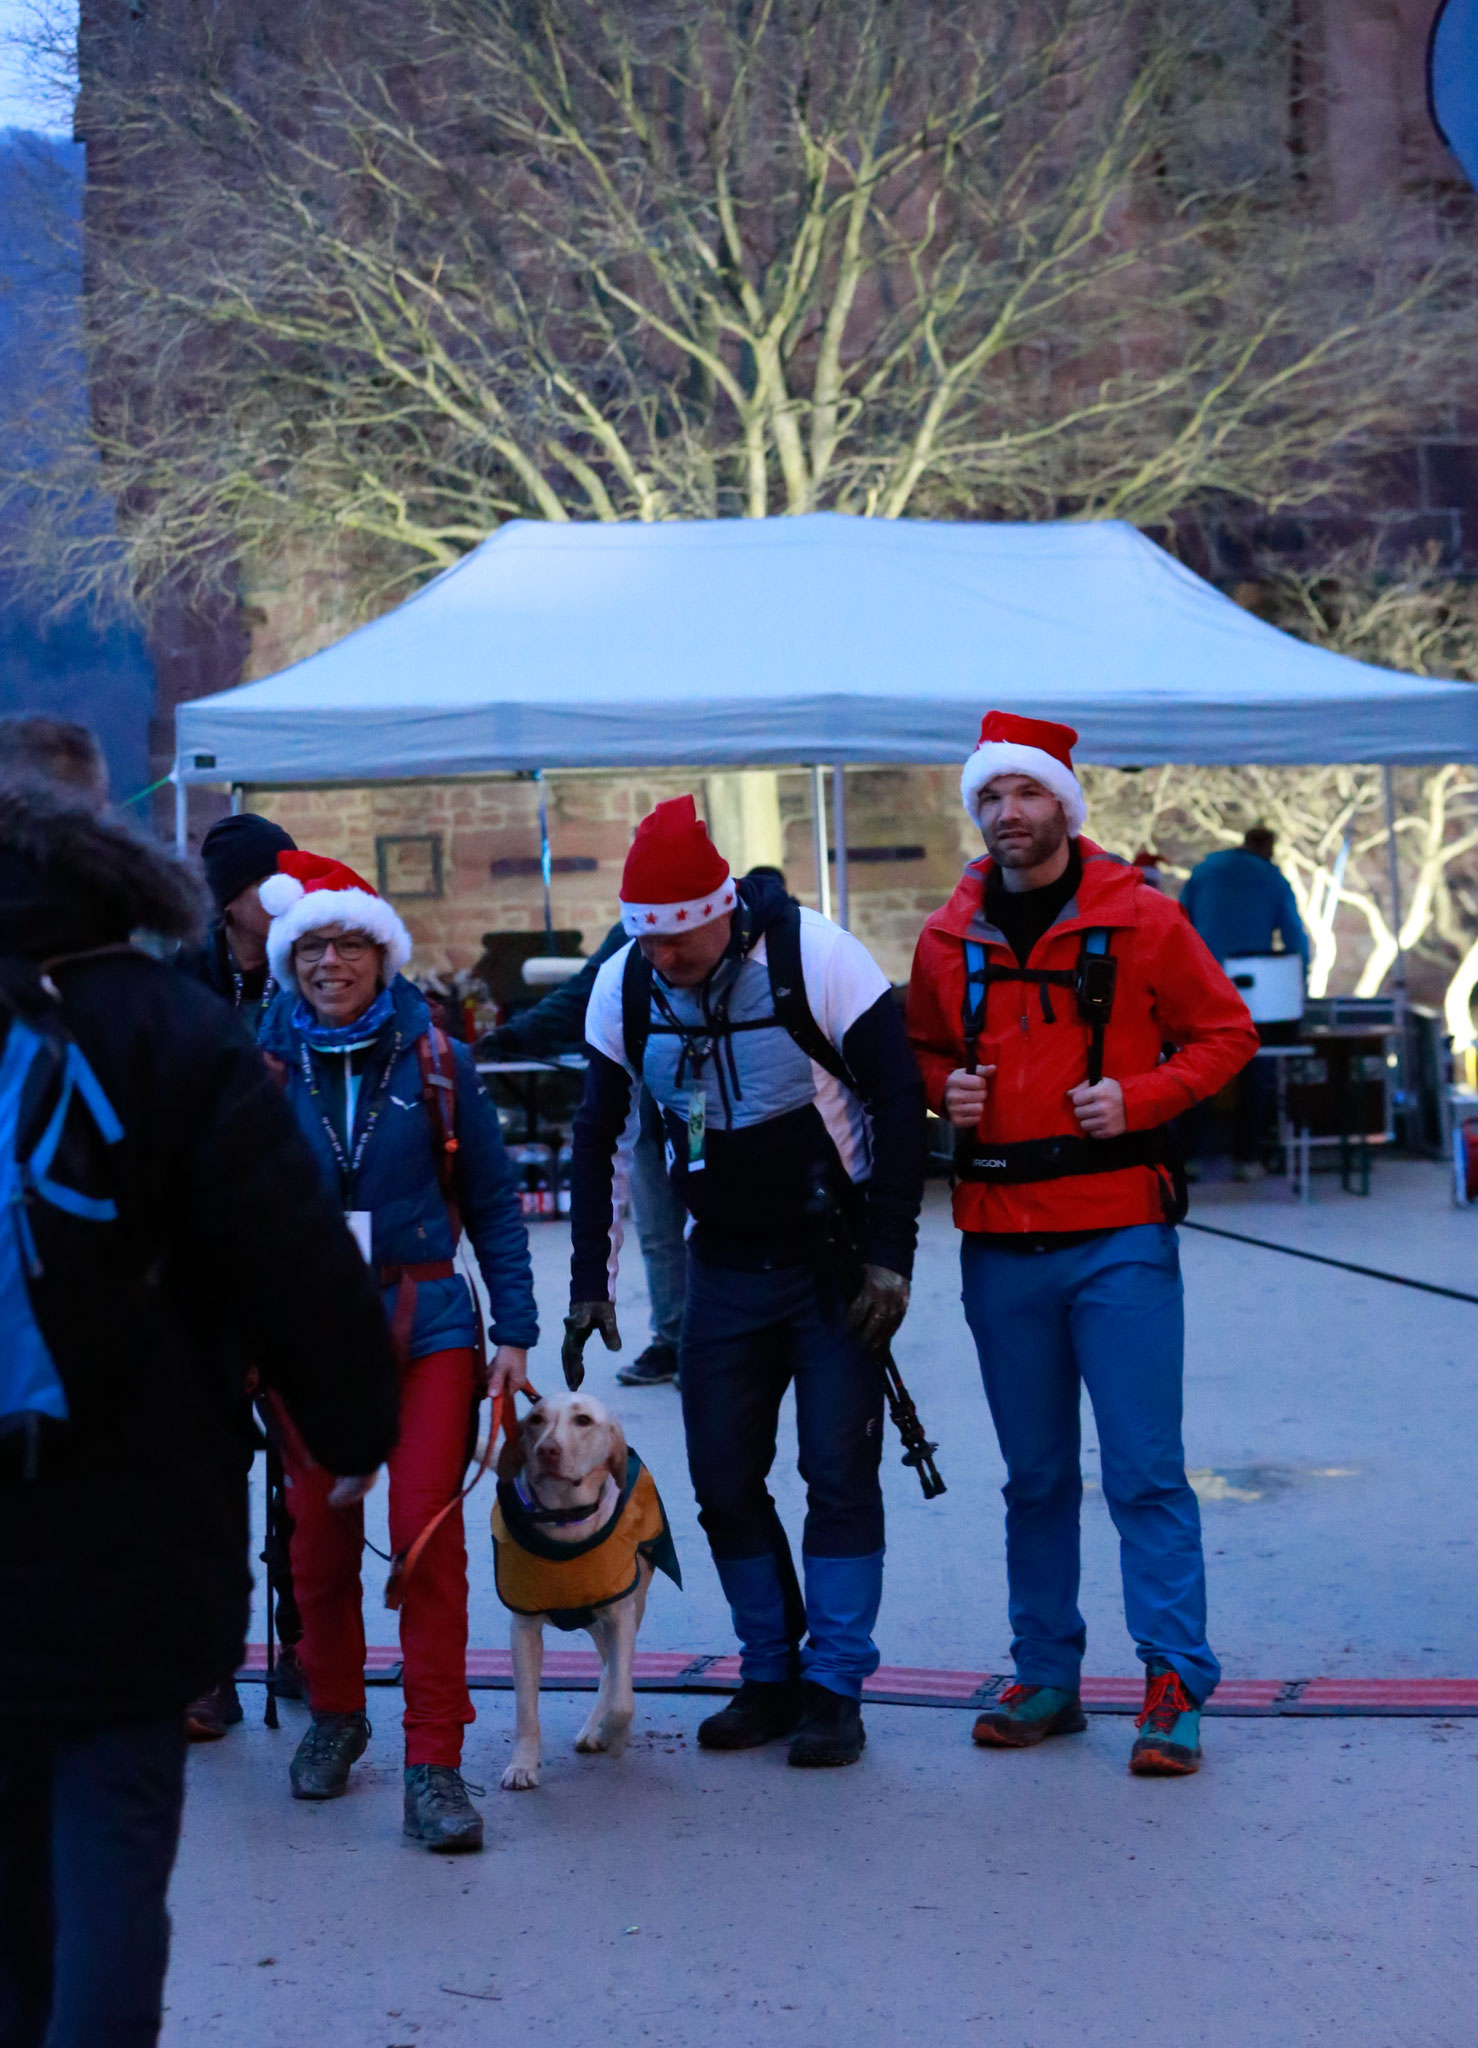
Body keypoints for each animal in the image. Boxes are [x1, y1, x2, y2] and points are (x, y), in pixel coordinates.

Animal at [491, 1392, 680, 1791]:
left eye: (583, 1421)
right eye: (535, 1419)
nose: (547, 1450)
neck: (565, 1517)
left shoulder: (620, 1612)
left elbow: (622, 1698)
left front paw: (613, 1733)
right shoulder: (524, 1629)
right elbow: (526, 1712)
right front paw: (523, 1765)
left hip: (623, 1608)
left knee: (613, 1670)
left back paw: (598, 1729)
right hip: (594, 1621)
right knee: (607, 1663)